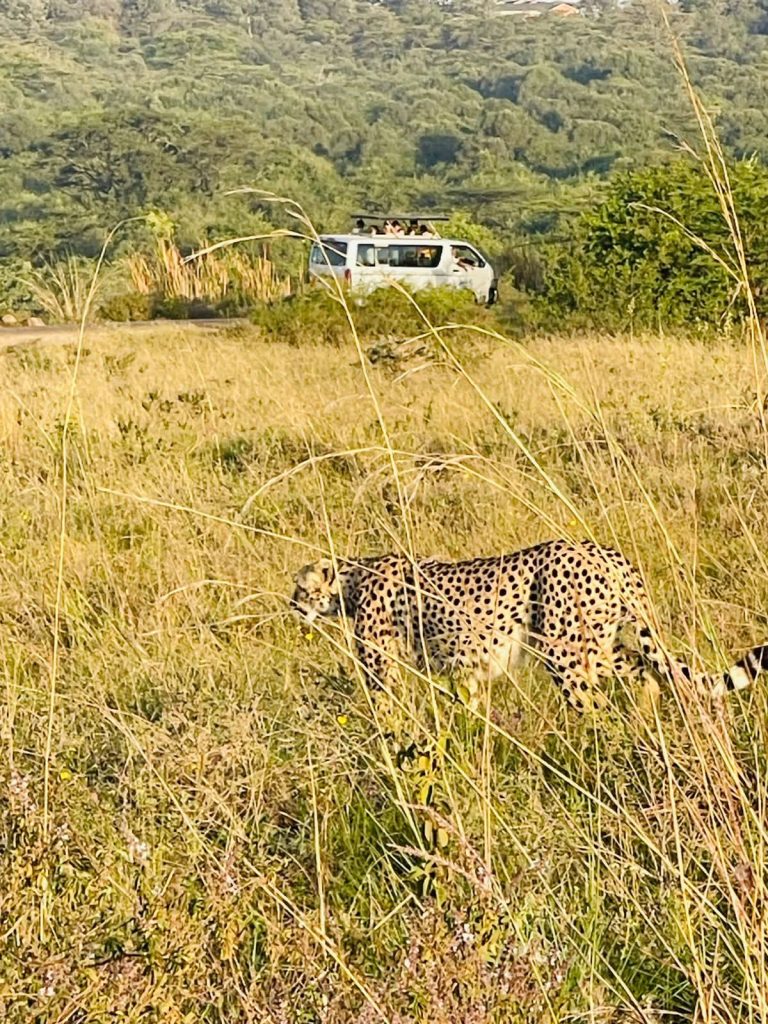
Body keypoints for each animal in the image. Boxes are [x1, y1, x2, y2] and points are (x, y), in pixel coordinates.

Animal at [290, 539, 768, 711]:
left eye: (300, 588)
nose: (291, 606)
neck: (353, 580)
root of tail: (607, 551)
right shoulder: (467, 670)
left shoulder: (382, 668)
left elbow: (385, 710)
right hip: (598, 645)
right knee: (642, 667)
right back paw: (645, 717)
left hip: (564, 653)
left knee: (594, 705)